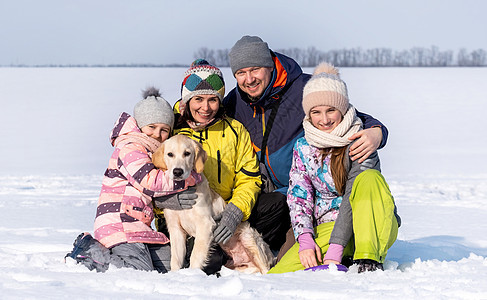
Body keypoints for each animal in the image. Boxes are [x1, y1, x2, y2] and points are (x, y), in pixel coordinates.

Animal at [152, 135, 274, 274]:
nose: (178, 172)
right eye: (170, 154)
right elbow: (176, 260)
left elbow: (195, 256)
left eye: (187, 153)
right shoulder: (176, 228)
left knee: (266, 268)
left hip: (249, 237)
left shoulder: (205, 224)